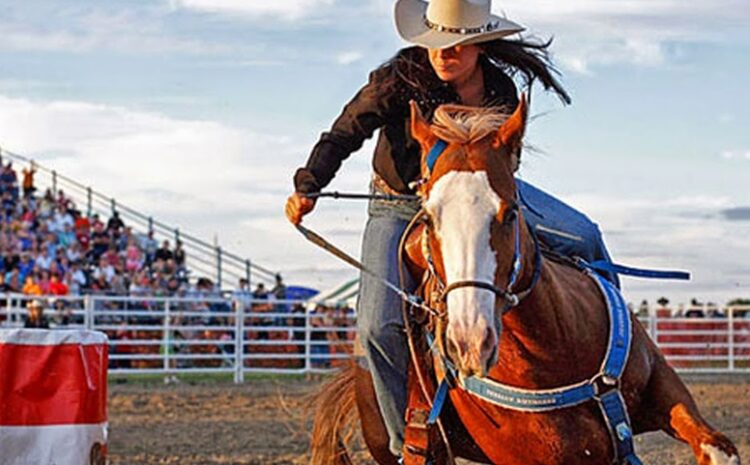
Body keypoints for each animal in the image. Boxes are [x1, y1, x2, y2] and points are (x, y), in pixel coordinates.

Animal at [310, 97, 740, 464]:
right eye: (429, 219)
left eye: (511, 211)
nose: (470, 342)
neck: (560, 347)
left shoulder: (667, 393)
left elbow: (717, 448)